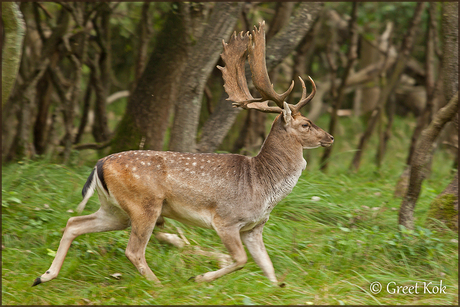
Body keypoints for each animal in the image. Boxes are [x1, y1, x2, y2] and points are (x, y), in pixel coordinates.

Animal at [33, 21, 334, 288]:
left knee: (74, 222)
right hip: (144, 204)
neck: (263, 184)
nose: (329, 137)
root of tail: (99, 162)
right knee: (133, 249)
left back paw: (43, 276)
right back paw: (159, 286)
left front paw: (279, 289)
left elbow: (268, 267)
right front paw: (199, 278)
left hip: (114, 210)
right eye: (306, 124)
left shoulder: (254, 227)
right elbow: (240, 260)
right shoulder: (226, 219)